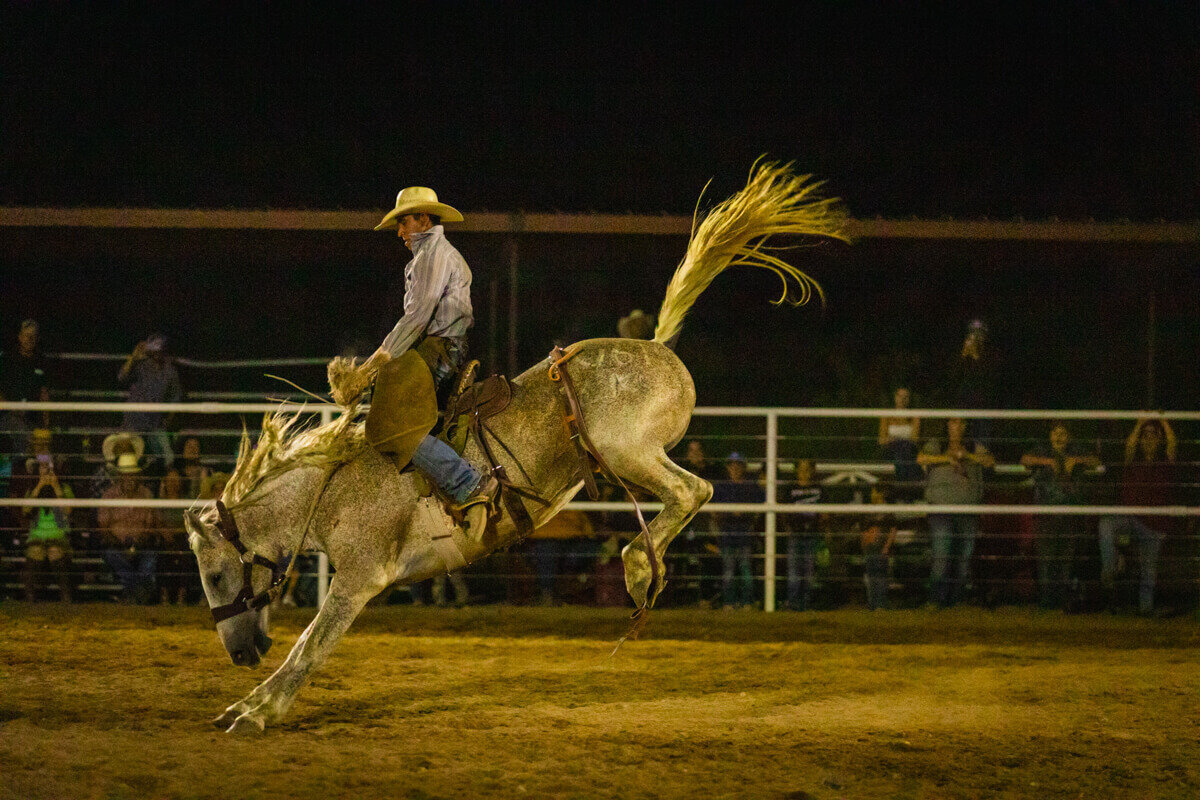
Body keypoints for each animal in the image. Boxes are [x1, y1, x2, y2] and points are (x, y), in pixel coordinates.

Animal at [184, 160, 844, 734]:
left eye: (214, 575)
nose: (241, 654)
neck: (332, 488)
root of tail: (657, 345)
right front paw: (243, 703)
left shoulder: (361, 574)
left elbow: (311, 644)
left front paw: (256, 711)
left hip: (627, 452)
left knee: (693, 489)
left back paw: (637, 569)